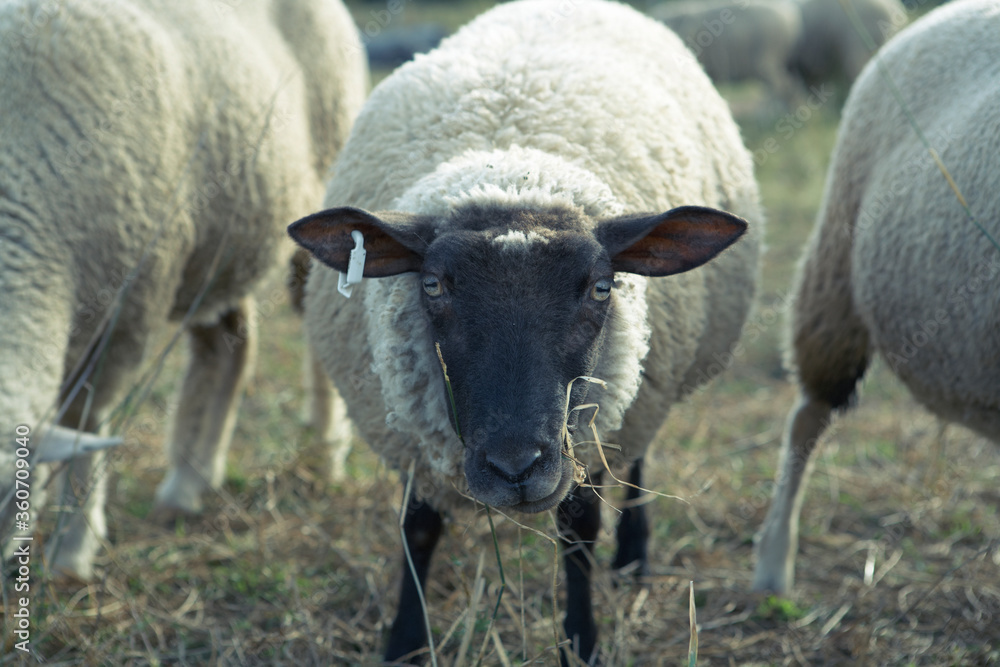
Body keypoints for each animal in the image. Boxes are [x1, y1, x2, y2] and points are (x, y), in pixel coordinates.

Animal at [0, 0, 367, 581]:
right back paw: (189, 483)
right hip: (216, 245)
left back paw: (328, 452)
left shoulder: (131, 303)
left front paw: (73, 549)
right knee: (229, 348)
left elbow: (83, 419)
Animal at [289, 0, 763, 662]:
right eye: (432, 285)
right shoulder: (414, 435)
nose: (515, 468)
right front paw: (406, 641)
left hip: (640, 390)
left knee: (638, 459)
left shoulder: (585, 432)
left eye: (601, 287)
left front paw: (581, 640)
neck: (510, 164)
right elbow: (418, 528)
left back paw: (633, 557)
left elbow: (579, 529)